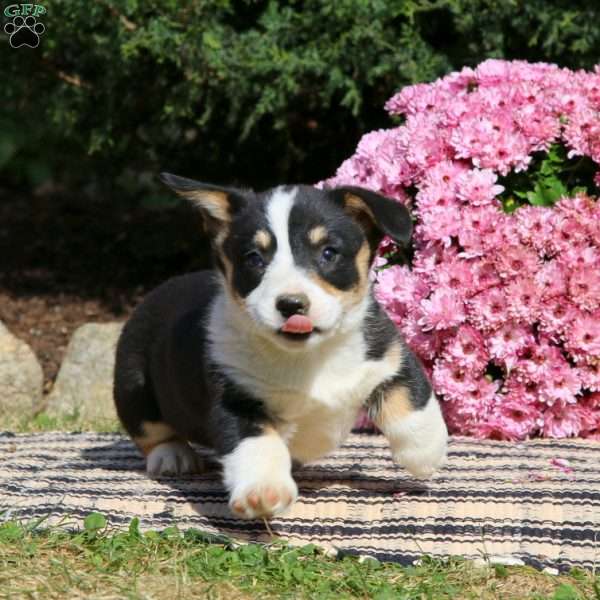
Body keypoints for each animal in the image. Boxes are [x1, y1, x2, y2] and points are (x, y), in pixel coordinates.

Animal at [115, 175, 448, 520]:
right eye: (254, 258)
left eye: (329, 253)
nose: (291, 305)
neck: (309, 356)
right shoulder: (235, 399)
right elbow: (256, 445)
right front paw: (264, 491)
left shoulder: (388, 354)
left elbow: (411, 399)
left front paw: (425, 452)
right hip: (132, 385)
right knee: (150, 429)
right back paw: (172, 456)